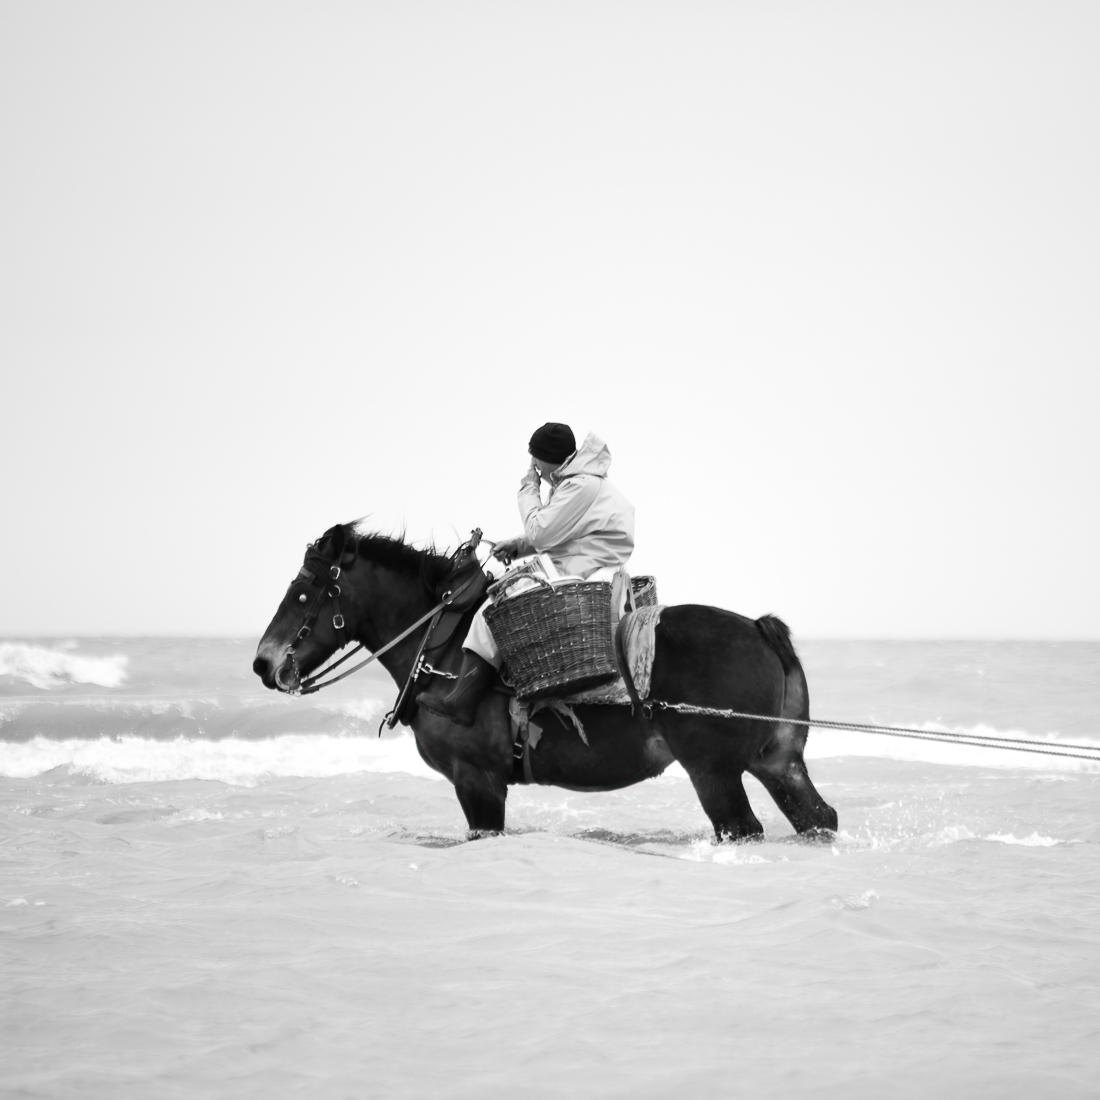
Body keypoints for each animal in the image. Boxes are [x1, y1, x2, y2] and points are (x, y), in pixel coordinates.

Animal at [253, 523, 838, 841]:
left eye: (304, 592)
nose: (263, 663)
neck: (442, 648)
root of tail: (757, 627)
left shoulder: (478, 782)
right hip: (778, 763)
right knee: (818, 817)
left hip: (714, 772)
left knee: (743, 827)